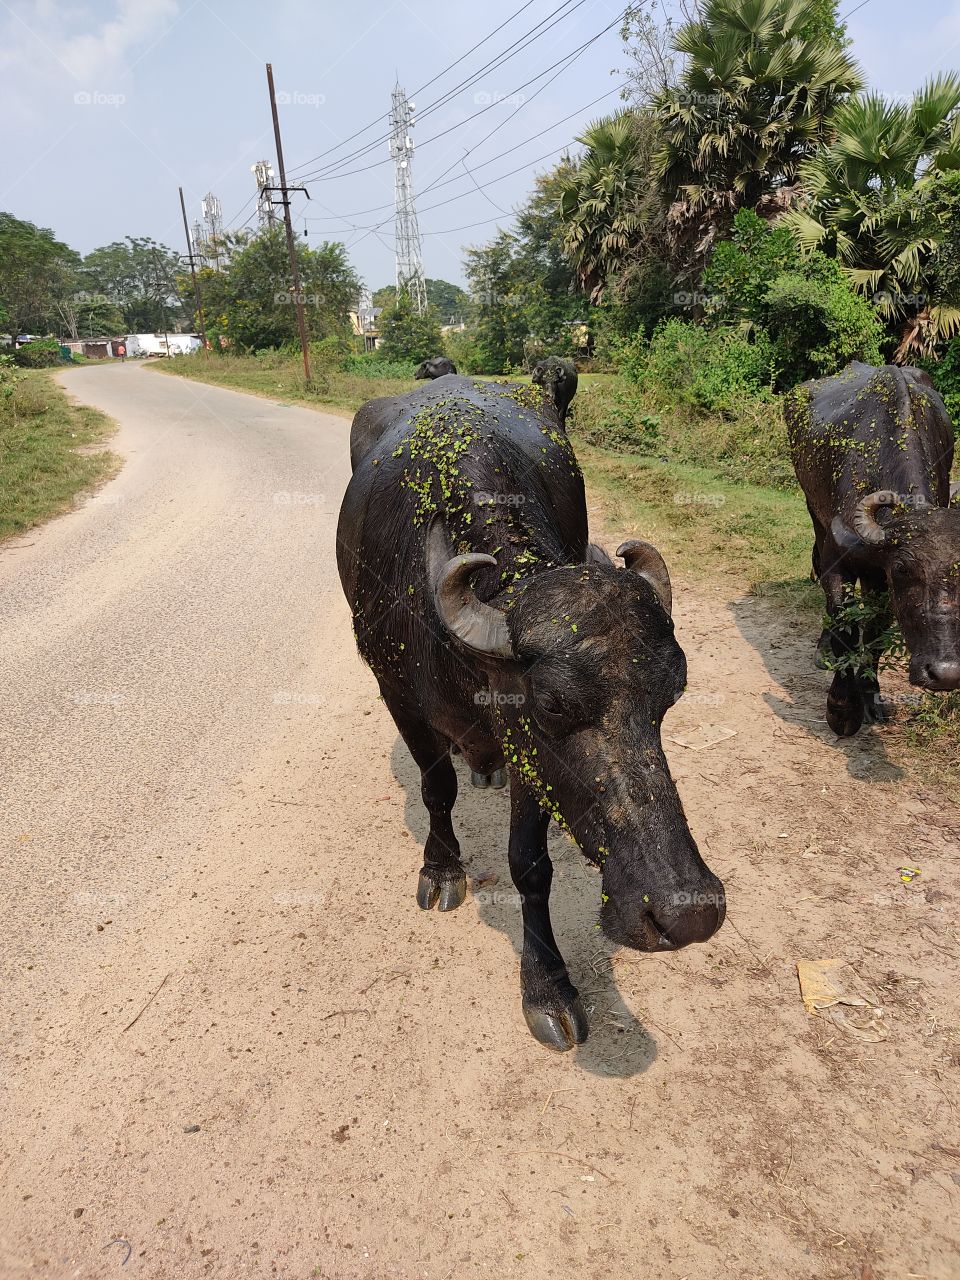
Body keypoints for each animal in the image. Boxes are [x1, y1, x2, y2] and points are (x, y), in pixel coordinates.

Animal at [337, 375, 725, 1051]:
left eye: (670, 697)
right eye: (552, 704)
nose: (688, 911)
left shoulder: (527, 756)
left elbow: (531, 865)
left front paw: (548, 985)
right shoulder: (398, 694)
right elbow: (435, 788)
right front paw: (442, 869)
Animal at [786, 361, 960, 736]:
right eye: (904, 568)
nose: (946, 674)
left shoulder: (881, 578)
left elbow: (876, 634)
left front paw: (870, 697)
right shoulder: (841, 562)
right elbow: (845, 627)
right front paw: (842, 708)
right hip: (812, 509)